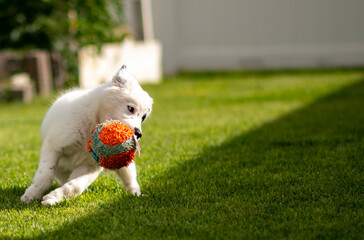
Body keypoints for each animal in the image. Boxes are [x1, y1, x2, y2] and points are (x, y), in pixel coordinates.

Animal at [21, 65, 152, 206]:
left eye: (143, 117)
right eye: (131, 108)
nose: (139, 134)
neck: (91, 125)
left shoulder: (90, 166)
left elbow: (75, 185)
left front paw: (54, 197)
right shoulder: (53, 146)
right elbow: (45, 175)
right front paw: (31, 194)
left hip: (123, 163)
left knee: (130, 178)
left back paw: (136, 194)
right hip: (61, 168)